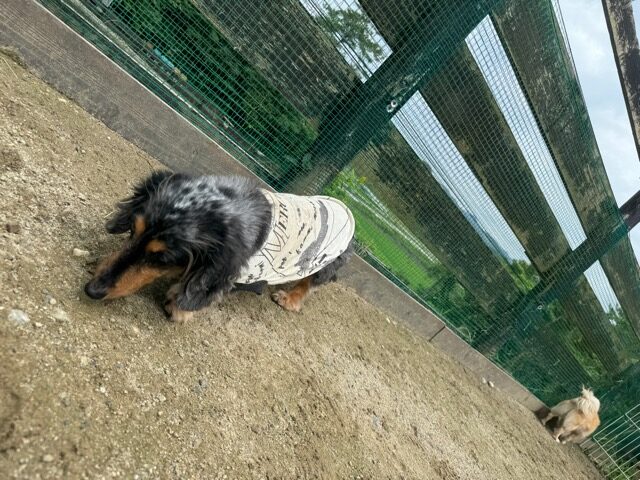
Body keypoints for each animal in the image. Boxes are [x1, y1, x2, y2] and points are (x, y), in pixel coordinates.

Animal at [84, 171, 355, 321]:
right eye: (132, 230)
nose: (91, 290)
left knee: (311, 283)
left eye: (161, 259)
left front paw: (179, 308)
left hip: (323, 263)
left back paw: (289, 298)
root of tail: (347, 211)